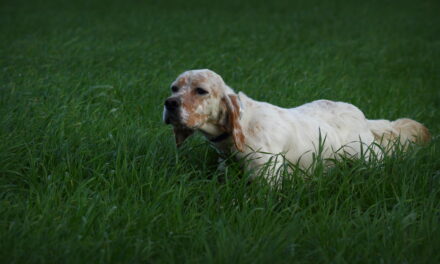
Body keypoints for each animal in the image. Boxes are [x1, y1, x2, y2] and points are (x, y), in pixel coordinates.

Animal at [163, 69, 432, 183]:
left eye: (201, 91)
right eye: (174, 88)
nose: (169, 103)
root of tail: (362, 117)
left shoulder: (267, 175)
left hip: (367, 157)